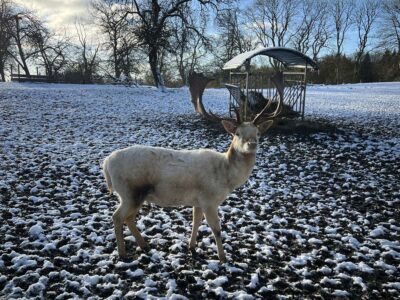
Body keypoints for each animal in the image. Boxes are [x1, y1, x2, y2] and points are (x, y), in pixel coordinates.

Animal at [103, 74, 284, 262]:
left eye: (258, 133)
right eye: (237, 133)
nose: (252, 144)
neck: (226, 178)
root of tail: (106, 164)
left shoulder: (198, 201)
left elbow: (196, 221)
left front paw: (192, 246)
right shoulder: (209, 200)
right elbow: (216, 229)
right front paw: (222, 257)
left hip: (136, 195)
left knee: (129, 217)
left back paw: (143, 245)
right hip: (129, 192)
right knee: (117, 217)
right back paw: (122, 253)